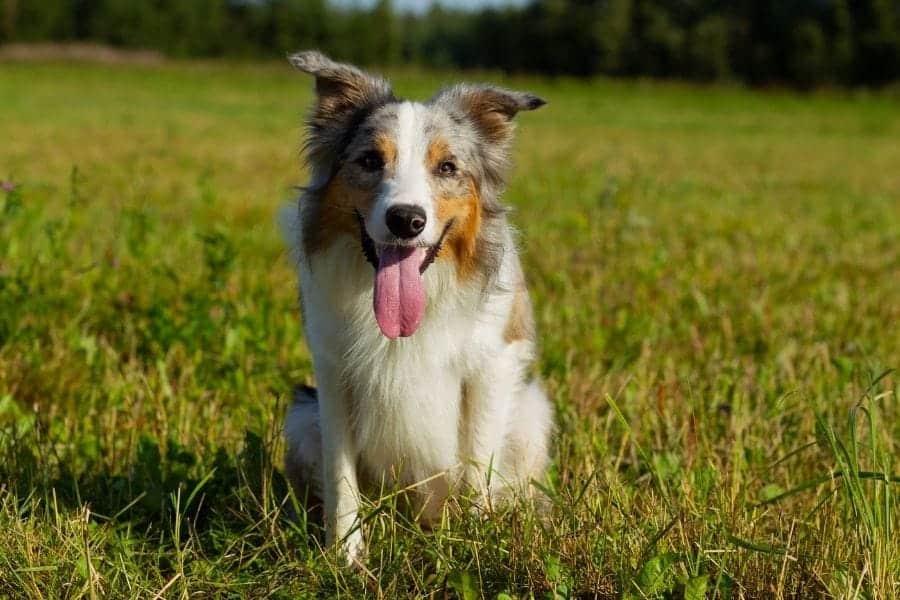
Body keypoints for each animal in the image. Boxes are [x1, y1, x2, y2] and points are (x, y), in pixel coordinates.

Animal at [282, 50, 552, 564]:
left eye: (447, 167)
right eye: (370, 160)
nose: (406, 220)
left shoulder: (492, 364)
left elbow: (476, 463)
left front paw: (476, 543)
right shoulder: (332, 371)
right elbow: (341, 474)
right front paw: (345, 557)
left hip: (531, 415)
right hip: (300, 416)